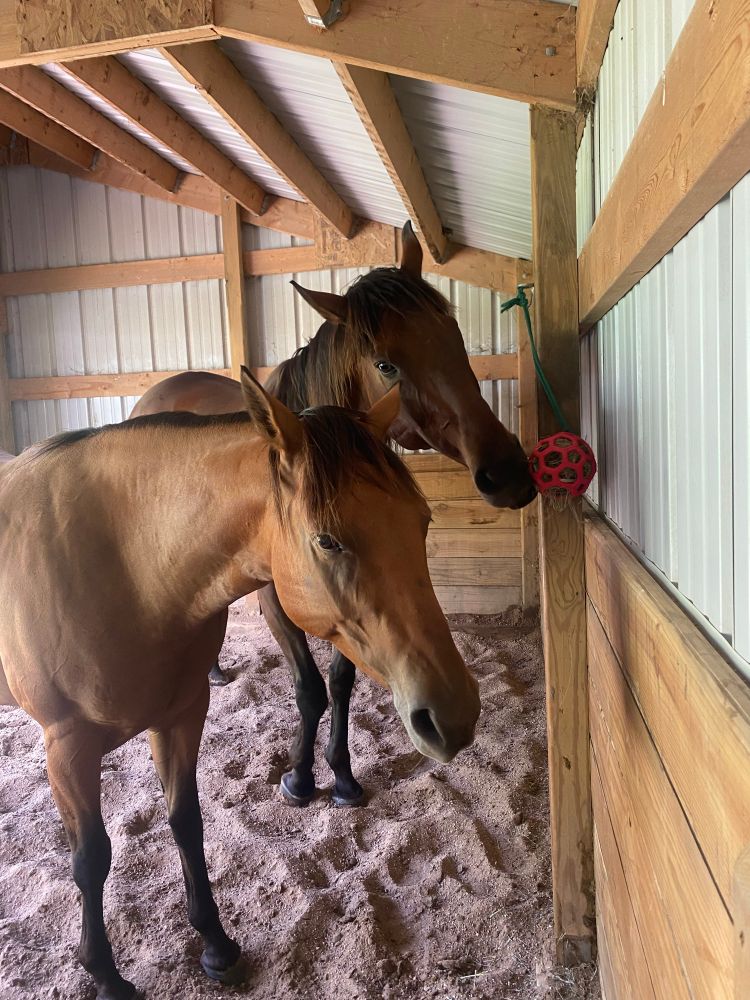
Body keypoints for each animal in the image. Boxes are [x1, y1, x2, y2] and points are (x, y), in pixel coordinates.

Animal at [0, 371, 480, 1000]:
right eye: (328, 541)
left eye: (421, 521)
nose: (454, 715)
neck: (122, 564)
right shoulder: (66, 748)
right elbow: (91, 859)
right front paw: (105, 974)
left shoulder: (179, 716)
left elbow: (186, 822)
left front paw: (215, 943)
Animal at [132, 220, 535, 807]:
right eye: (387, 364)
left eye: (455, 336)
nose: (509, 473)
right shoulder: (282, 601)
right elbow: (309, 689)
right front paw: (300, 777)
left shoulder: (353, 598)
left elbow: (342, 683)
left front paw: (342, 774)